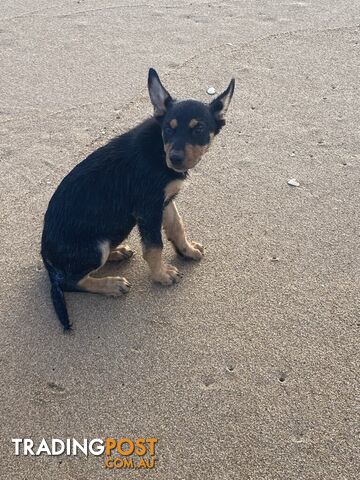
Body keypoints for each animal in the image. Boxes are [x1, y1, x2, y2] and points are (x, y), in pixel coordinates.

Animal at [40, 68, 235, 330]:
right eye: (169, 128)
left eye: (199, 128)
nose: (175, 158)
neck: (159, 149)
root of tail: (46, 261)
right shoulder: (147, 209)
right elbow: (154, 247)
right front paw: (161, 275)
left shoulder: (165, 201)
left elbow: (177, 226)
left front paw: (187, 250)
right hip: (95, 247)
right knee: (71, 281)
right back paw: (111, 284)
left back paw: (118, 253)